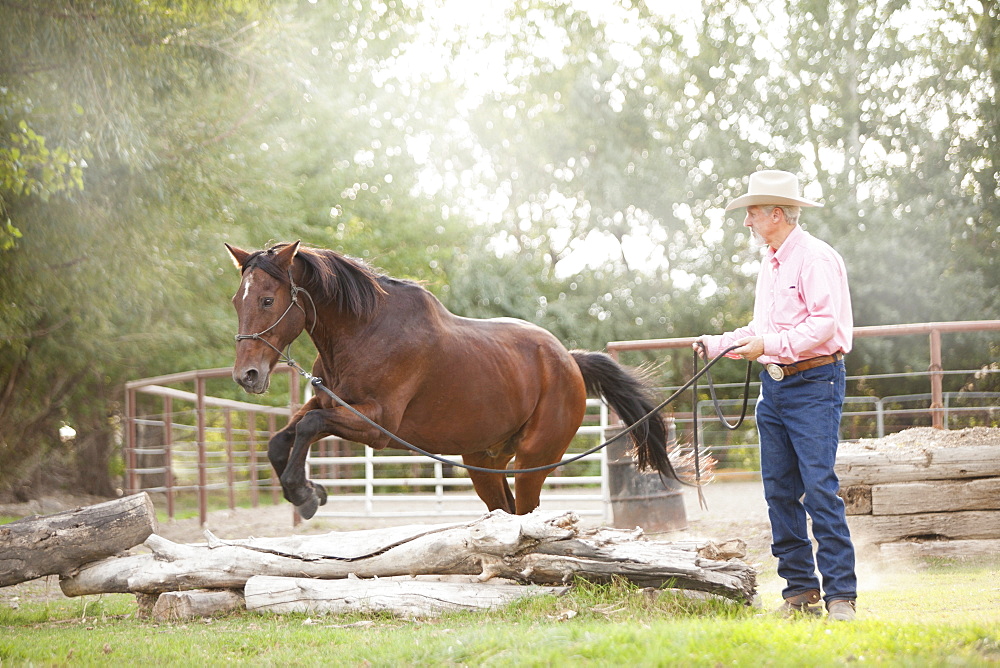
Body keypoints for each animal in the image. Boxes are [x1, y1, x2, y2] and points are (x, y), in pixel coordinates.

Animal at [227, 243, 676, 520]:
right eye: (237, 300)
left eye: (267, 300)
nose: (247, 375)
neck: (366, 331)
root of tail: (568, 360)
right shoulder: (328, 403)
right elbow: (281, 438)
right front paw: (307, 491)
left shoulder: (377, 425)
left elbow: (308, 426)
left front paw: (304, 493)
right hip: (483, 462)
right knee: (505, 511)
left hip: (533, 460)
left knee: (526, 513)